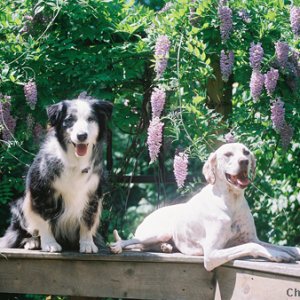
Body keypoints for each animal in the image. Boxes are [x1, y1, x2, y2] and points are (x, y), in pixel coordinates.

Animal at [0, 97, 112, 252]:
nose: (82, 136)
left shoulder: (93, 194)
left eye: (91, 119)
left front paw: (88, 244)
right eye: (69, 120)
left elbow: (87, 221)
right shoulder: (40, 192)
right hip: (19, 204)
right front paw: (50, 244)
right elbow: (43, 220)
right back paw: (32, 242)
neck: (75, 161)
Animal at [110, 143, 300, 272]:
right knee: (133, 242)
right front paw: (278, 255)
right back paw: (119, 246)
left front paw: (291, 251)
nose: (244, 161)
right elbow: (253, 247)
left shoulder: (252, 238)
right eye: (228, 154)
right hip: (157, 232)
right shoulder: (212, 254)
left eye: (246, 152)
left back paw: (165, 247)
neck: (232, 202)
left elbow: (279, 246)